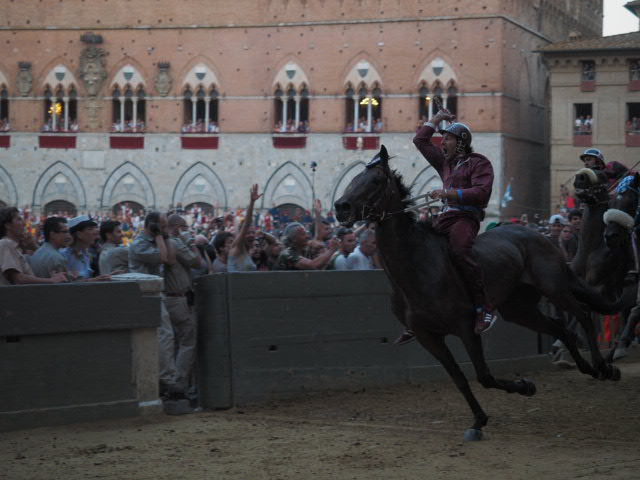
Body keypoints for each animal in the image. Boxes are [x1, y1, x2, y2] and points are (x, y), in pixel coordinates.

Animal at [336, 145, 620, 438]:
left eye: (375, 180)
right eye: (355, 177)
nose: (341, 207)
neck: (419, 265)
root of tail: (541, 237)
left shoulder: (465, 327)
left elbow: (484, 375)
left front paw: (525, 386)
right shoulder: (428, 336)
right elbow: (459, 378)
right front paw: (479, 418)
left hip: (554, 287)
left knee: (583, 314)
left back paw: (603, 366)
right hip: (518, 309)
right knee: (559, 327)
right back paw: (587, 368)